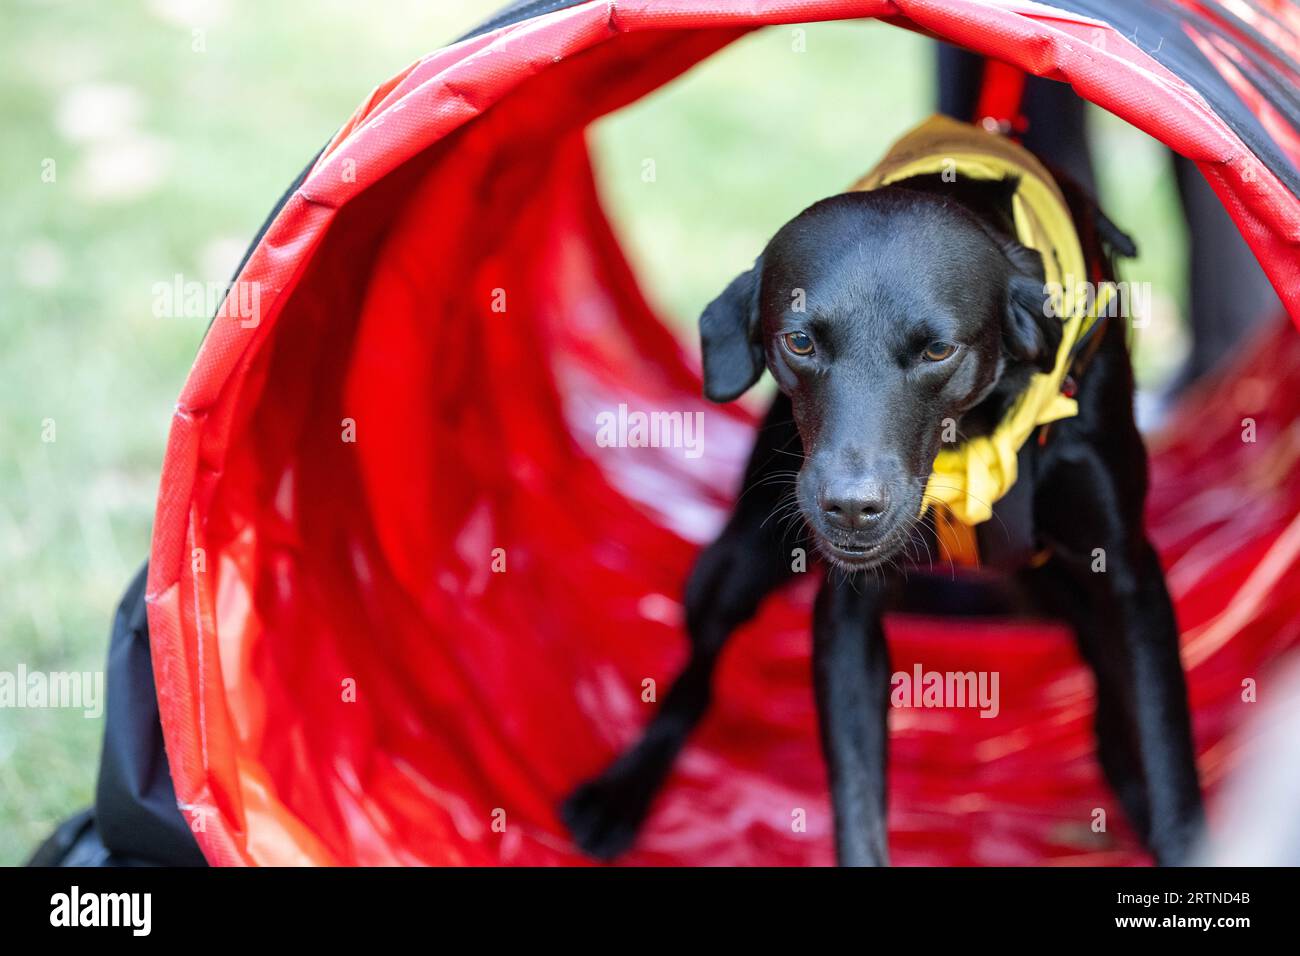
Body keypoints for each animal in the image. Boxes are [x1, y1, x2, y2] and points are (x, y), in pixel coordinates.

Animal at [564, 166, 1201, 868]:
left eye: (938, 350)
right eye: (800, 341)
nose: (850, 508)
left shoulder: (1130, 578)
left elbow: (1170, 762)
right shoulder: (847, 615)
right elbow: (858, 803)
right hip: (738, 558)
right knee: (696, 674)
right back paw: (620, 794)